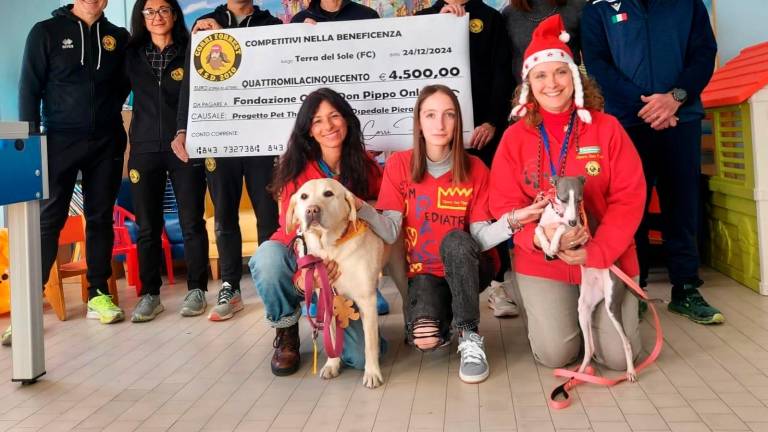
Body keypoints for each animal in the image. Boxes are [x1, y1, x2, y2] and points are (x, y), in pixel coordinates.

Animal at [284, 178, 400, 388]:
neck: (331, 248)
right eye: (304, 196)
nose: (312, 210)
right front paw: (332, 364)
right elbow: (331, 334)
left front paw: (372, 373)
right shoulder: (326, 297)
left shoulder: (367, 301)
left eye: (328, 194)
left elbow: (370, 344)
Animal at [536, 176, 636, 382]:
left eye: (580, 200)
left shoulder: (578, 232)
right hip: (583, 308)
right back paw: (579, 375)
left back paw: (631, 371)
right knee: (589, 348)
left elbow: (560, 227)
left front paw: (554, 244)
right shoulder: (543, 224)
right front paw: (547, 247)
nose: (574, 221)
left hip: (612, 305)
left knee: (626, 342)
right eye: (563, 199)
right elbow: (539, 229)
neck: (559, 215)